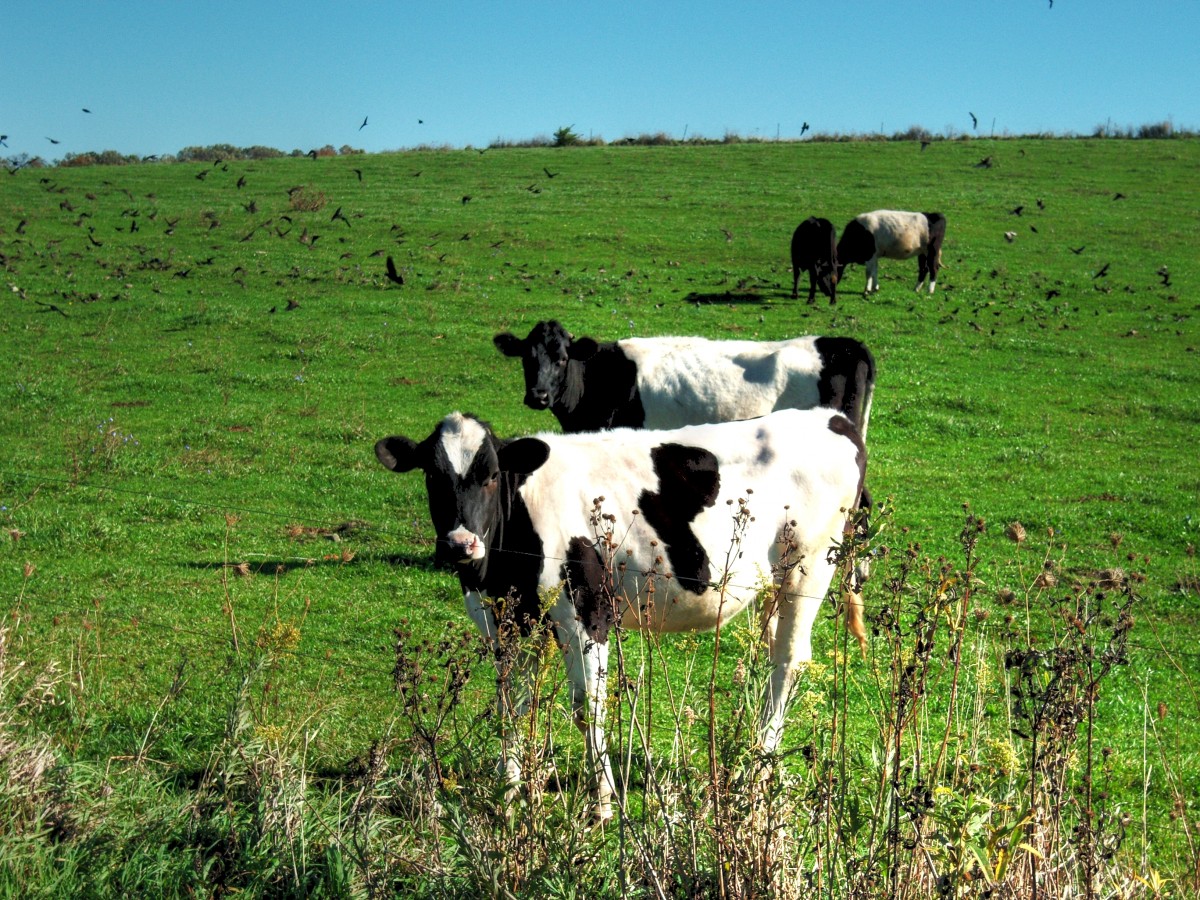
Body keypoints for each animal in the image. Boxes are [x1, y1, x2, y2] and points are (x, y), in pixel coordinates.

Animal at [374, 408, 864, 825]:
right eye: (432, 476)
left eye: (492, 475)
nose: (461, 544)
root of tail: (830, 417)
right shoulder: (502, 622)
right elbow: (511, 702)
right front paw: (507, 793)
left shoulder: (587, 611)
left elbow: (587, 707)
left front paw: (603, 803)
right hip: (773, 587)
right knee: (770, 658)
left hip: (808, 568)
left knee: (788, 662)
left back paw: (758, 772)